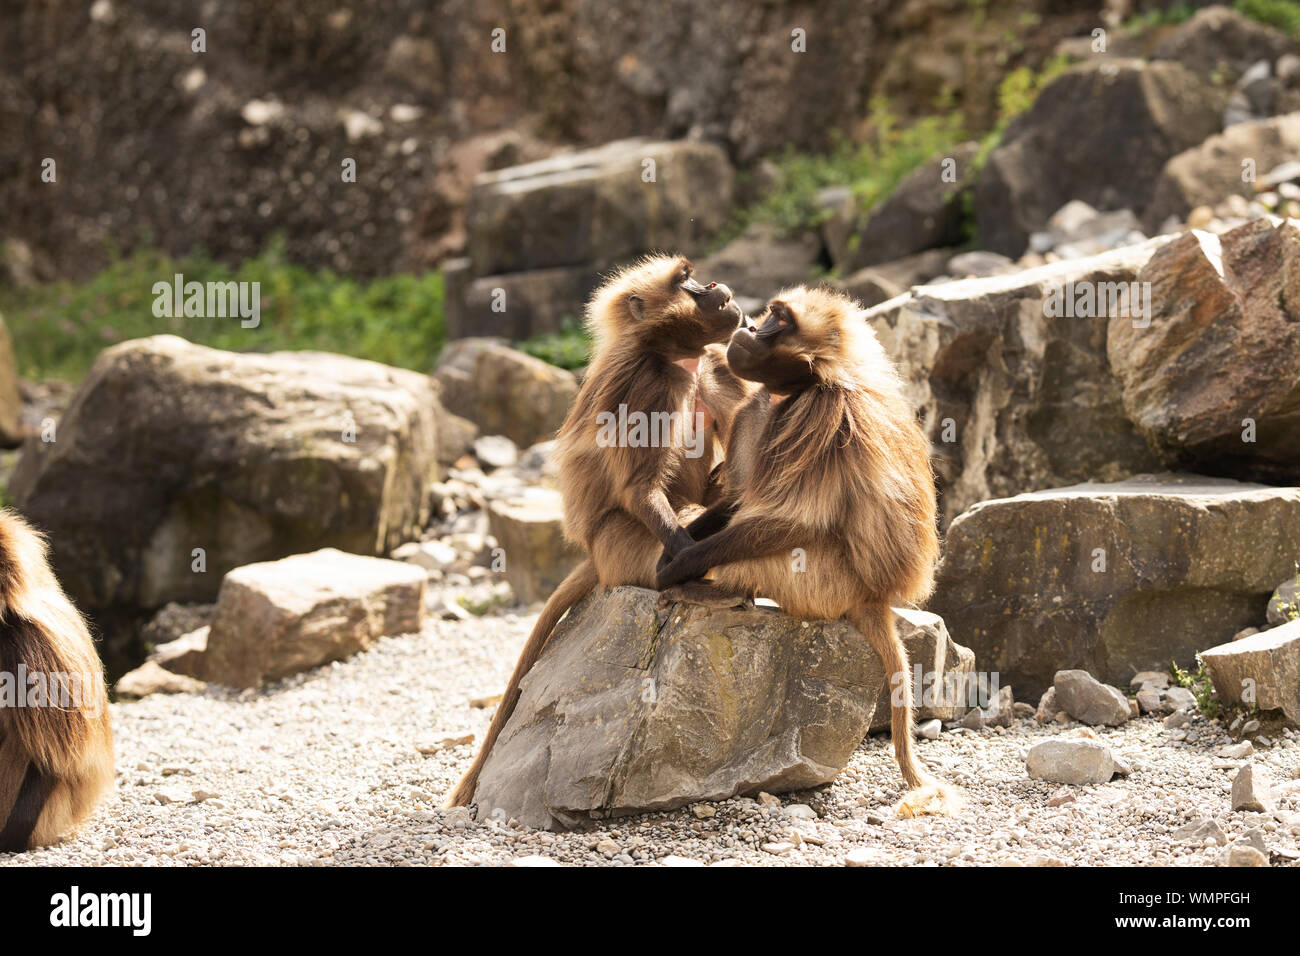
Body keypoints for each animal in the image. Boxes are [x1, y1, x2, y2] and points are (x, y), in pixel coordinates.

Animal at [446, 254, 745, 808]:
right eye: (686, 282)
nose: (716, 285)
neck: (677, 359)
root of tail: (593, 556)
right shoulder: (647, 385)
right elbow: (639, 489)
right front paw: (689, 566)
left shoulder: (715, 365)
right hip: (620, 545)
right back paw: (687, 582)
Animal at [655, 286, 962, 817]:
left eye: (779, 320)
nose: (749, 326)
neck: (798, 389)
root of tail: (875, 598)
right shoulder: (757, 407)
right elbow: (739, 501)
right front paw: (675, 546)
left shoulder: (821, 416)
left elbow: (794, 521)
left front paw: (680, 565)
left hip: (824, 584)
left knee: (781, 540)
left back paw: (718, 593)